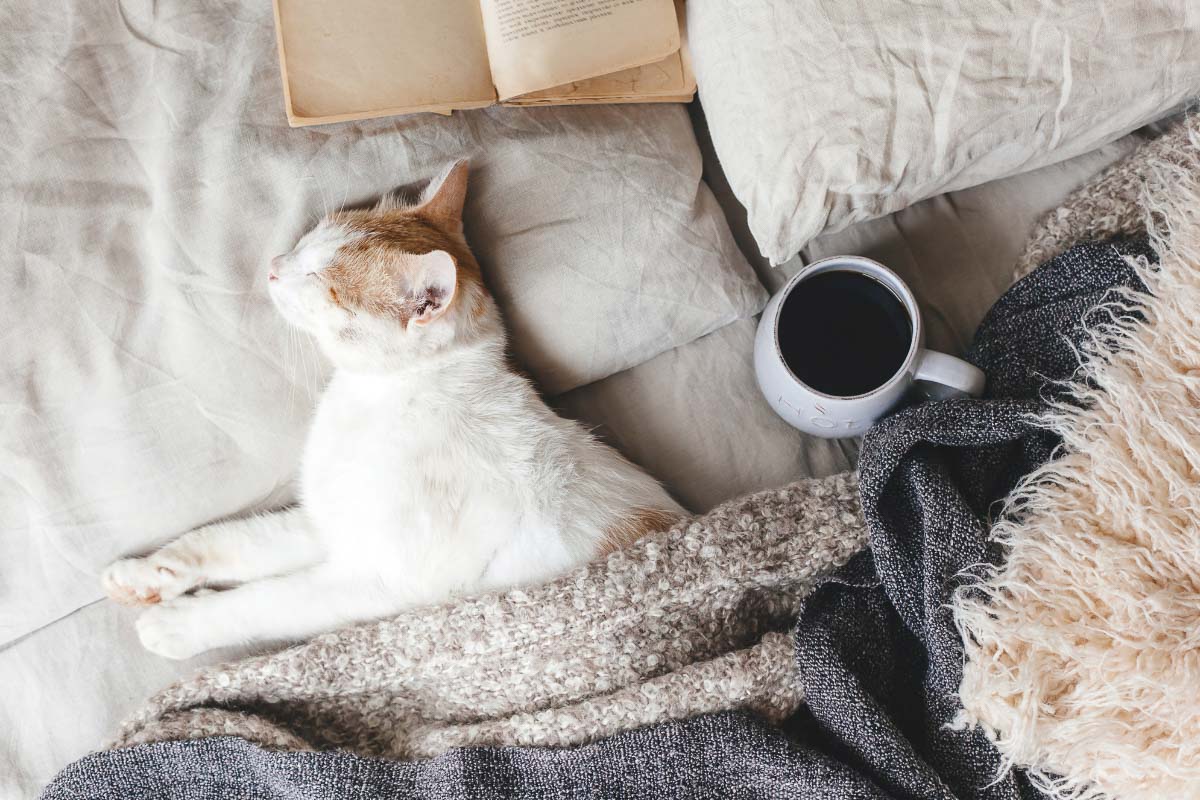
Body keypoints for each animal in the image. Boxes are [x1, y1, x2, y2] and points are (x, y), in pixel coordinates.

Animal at [100, 159, 686, 662]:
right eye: (308, 241)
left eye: (321, 280)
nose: (273, 266)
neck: (391, 394)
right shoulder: (329, 519)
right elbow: (233, 541)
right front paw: (148, 573)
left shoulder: (376, 579)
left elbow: (266, 601)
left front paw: (179, 625)